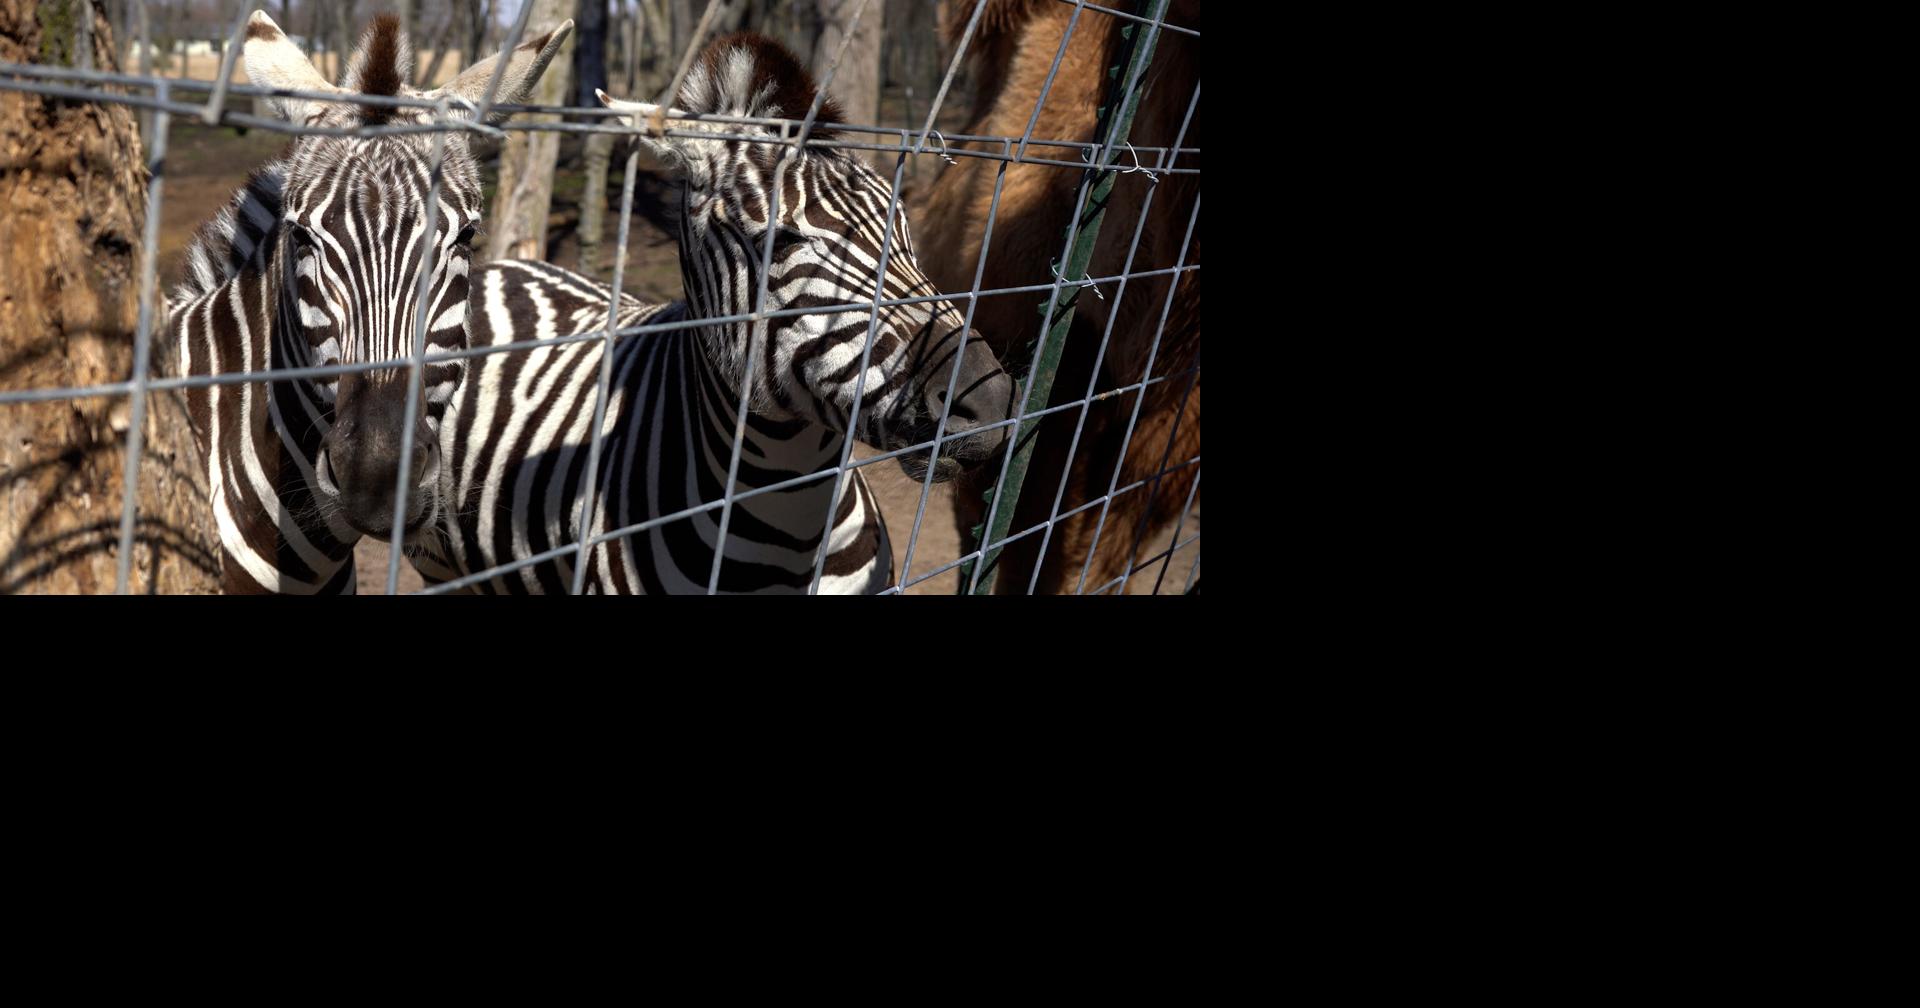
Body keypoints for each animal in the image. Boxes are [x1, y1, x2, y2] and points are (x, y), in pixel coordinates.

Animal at [402, 33, 1016, 593]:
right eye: (779, 241)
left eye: (903, 226)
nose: (990, 402)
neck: (793, 509)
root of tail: (501, 266)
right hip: (435, 560)